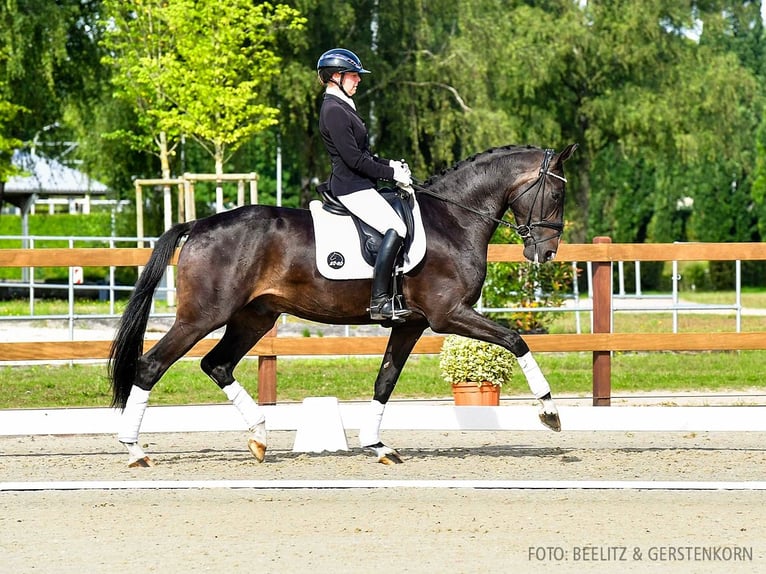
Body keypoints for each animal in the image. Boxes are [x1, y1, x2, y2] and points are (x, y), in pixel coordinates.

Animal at [106, 143, 576, 468]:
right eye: (556, 194)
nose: (547, 253)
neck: (453, 220)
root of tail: (199, 223)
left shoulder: (411, 324)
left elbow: (385, 381)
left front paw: (378, 446)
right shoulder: (448, 315)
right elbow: (515, 340)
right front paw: (550, 413)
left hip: (255, 316)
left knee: (216, 364)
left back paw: (259, 437)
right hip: (203, 315)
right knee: (151, 365)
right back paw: (135, 450)